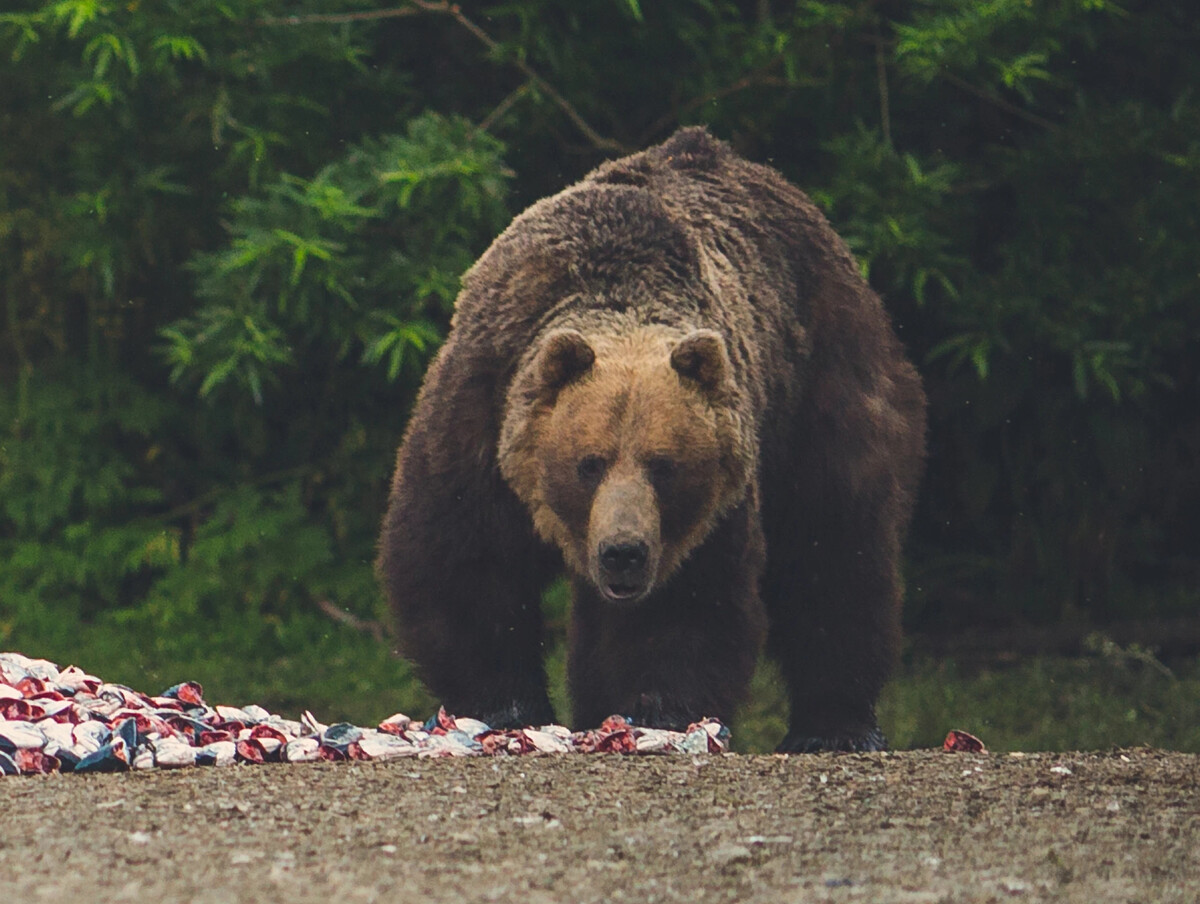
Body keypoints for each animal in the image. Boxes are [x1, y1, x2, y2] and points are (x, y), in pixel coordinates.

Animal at [379, 125, 921, 749]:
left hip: (822, 388)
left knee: (835, 545)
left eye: (665, 464)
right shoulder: (482, 410)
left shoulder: (709, 508)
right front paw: (506, 708)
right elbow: (467, 562)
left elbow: (685, 607)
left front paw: (655, 714)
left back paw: (837, 726)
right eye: (589, 462)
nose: (623, 553)